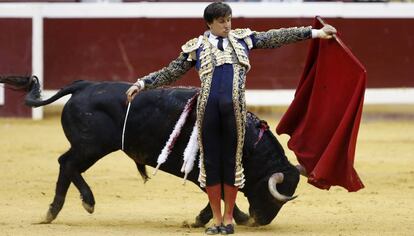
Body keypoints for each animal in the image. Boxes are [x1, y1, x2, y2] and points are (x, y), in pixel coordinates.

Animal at [0, 75, 300, 227]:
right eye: (273, 196)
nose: (261, 221)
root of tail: (84, 85)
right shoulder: (205, 169)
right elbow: (218, 193)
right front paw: (217, 219)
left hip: (89, 148)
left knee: (67, 164)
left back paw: (62, 209)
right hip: (90, 147)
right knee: (67, 163)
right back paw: (76, 204)